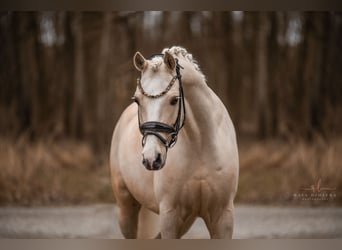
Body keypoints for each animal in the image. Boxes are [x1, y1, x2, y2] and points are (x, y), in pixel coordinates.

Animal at [111, 46, 239, 239]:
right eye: (137, 100)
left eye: (174, 100)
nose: (151, 159)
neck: (201, 146)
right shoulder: (170, 216)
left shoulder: (223, 216)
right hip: (126, 208)